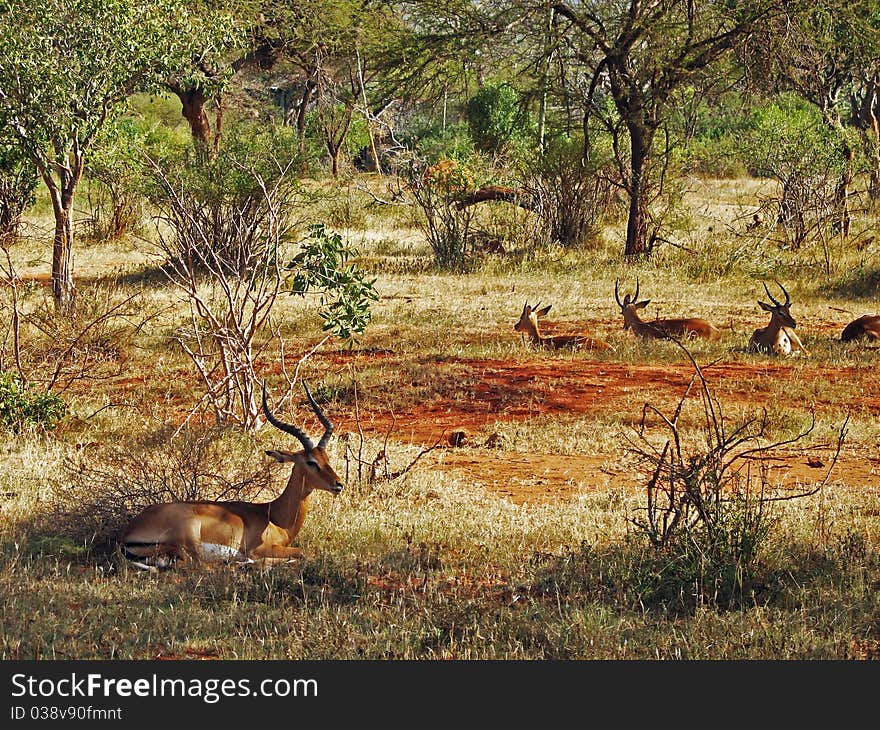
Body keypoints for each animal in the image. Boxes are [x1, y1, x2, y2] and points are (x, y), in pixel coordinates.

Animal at [119, 382, 344, 568]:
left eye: (326, 459)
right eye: (311, 462)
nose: (338, 484)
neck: (274, 517)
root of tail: (128, 532)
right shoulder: (260, 548)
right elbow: (303, 552)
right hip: (190, 540)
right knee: (199, 566)